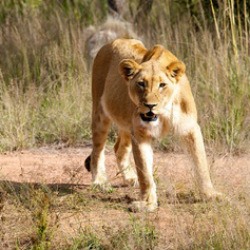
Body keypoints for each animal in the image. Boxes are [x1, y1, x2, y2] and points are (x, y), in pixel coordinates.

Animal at [85, 38, 222, 212]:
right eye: (141, 84)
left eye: (162, 85)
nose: (150, 105)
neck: (163, 111)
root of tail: (115, 40)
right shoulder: (140, 133)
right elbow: (145, 172)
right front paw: (147, 203)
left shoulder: (189, 128)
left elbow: (201, 163)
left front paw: (210, 195)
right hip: (100, 113)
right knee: (97, 150)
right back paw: (100, 181)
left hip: (126, 124)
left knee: (119, 148)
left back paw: (130, 177)